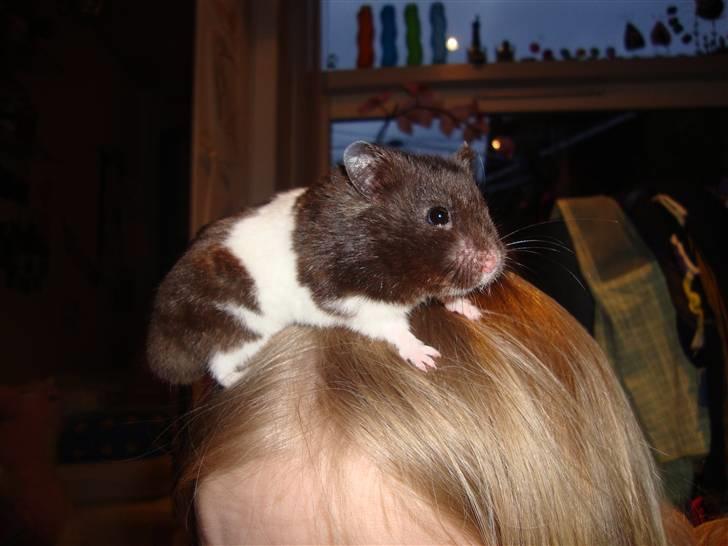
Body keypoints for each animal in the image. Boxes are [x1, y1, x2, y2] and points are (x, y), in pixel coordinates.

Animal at [147, 141, 505, 387]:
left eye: (485, 207)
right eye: (438, 215)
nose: (494, 262)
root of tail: (161, 336)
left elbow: (447, 292)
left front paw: (471, 309)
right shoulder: (352, 300)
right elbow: (393, 326)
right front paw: (427, 357)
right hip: (240, 326)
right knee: (219, 365)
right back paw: (240, 379)